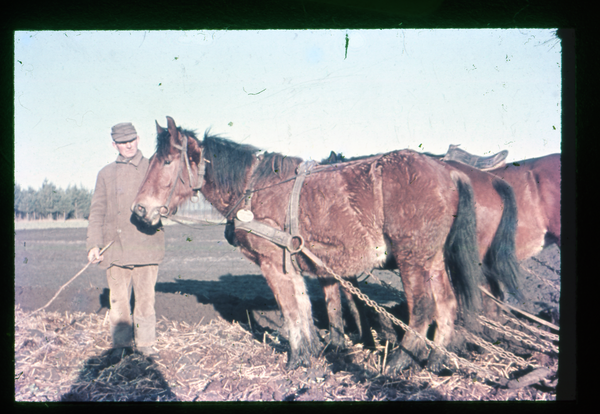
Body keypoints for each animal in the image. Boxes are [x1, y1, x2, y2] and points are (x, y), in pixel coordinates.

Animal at [132, 117, 520, 372]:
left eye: (166, 161)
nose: (139, 211)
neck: (254, 188)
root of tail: (449, 172)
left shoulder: (272, 263)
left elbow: (290, 310)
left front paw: (295, 359)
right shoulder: (294, 263)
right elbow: (303, 307)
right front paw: (311, 352)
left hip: (412, 258)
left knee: (423, 308)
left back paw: (399, 362)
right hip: (432, 257)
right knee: (447, 303)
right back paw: (437, 359)